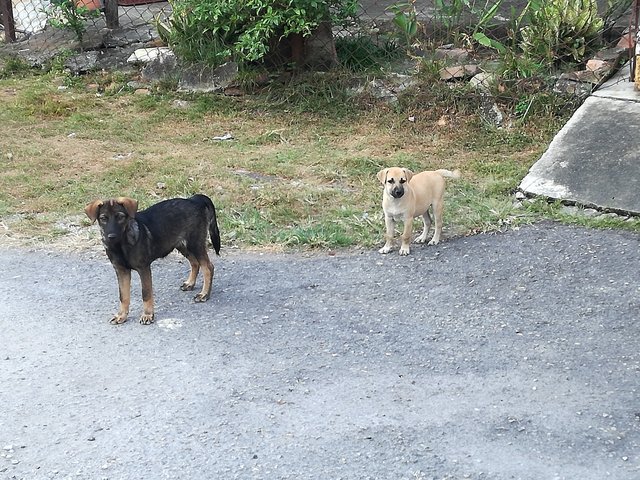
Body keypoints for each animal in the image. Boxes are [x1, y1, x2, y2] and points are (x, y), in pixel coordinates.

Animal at [85, 193, 221, 324]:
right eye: (103, 218)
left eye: (120, 217)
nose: (111, 237)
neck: (121, 245)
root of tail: (194, 199)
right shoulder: (121, 270)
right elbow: (123, 296)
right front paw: (121, 316)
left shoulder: (143, 268)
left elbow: (146, 294)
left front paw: (147, 315)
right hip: (182, 244)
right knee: (195, 263)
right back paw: (190, 284)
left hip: (195, 243)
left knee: (208, 267)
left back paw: (204, 294)